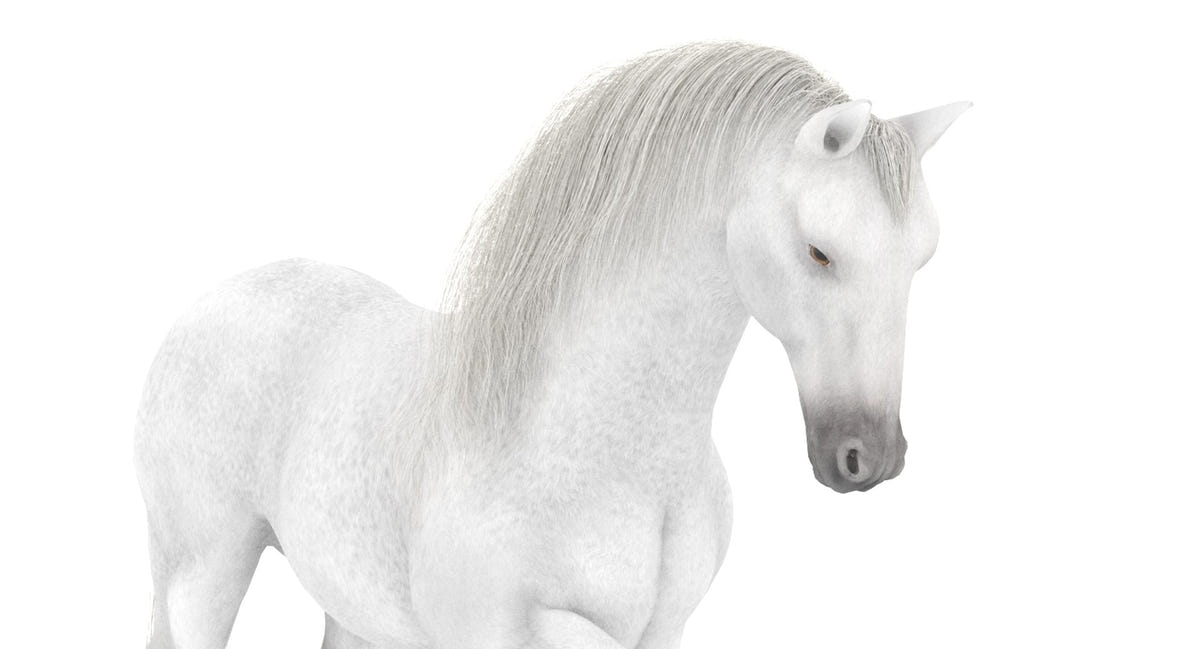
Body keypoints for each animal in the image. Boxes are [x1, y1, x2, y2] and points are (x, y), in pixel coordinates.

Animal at [134, 41, 968, 649]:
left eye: (923, 256)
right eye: (820, 252)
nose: (867, 457)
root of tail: (203, 307)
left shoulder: (665, 630)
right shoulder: (512, 629)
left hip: (350, 603)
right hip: (203, 572)